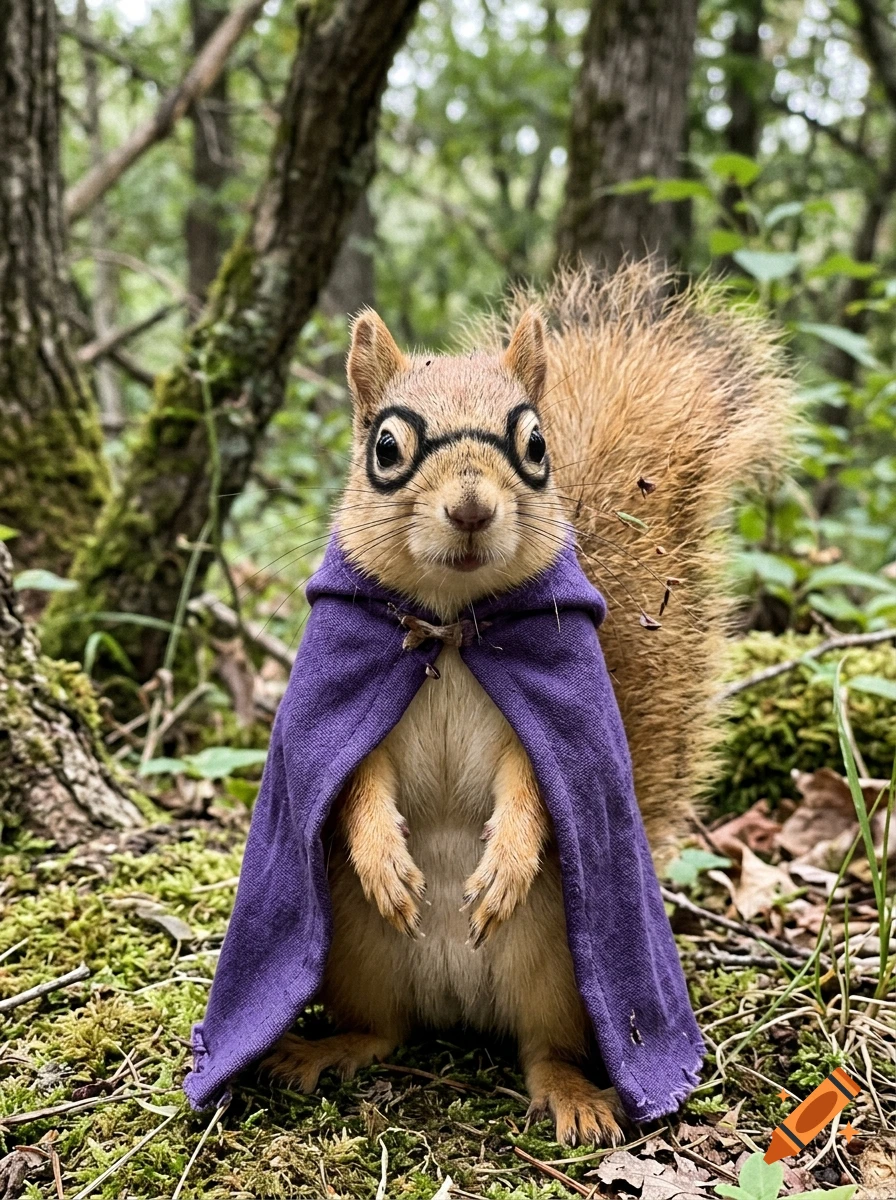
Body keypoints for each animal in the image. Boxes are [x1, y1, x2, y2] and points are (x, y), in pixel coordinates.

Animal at [261, 263, 791, 1145]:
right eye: (385, 448)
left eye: (537, 445)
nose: (472, 508)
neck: (450, 630)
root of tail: (458, 1009)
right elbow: (358, 779)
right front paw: (382, 856)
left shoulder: (550, 719)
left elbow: (537, 786)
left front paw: (506, 860)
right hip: (357, 955)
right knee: (385, 1028)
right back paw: (325, 1049)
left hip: (560, 974)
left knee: (543, 1048)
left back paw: (574, 1097)